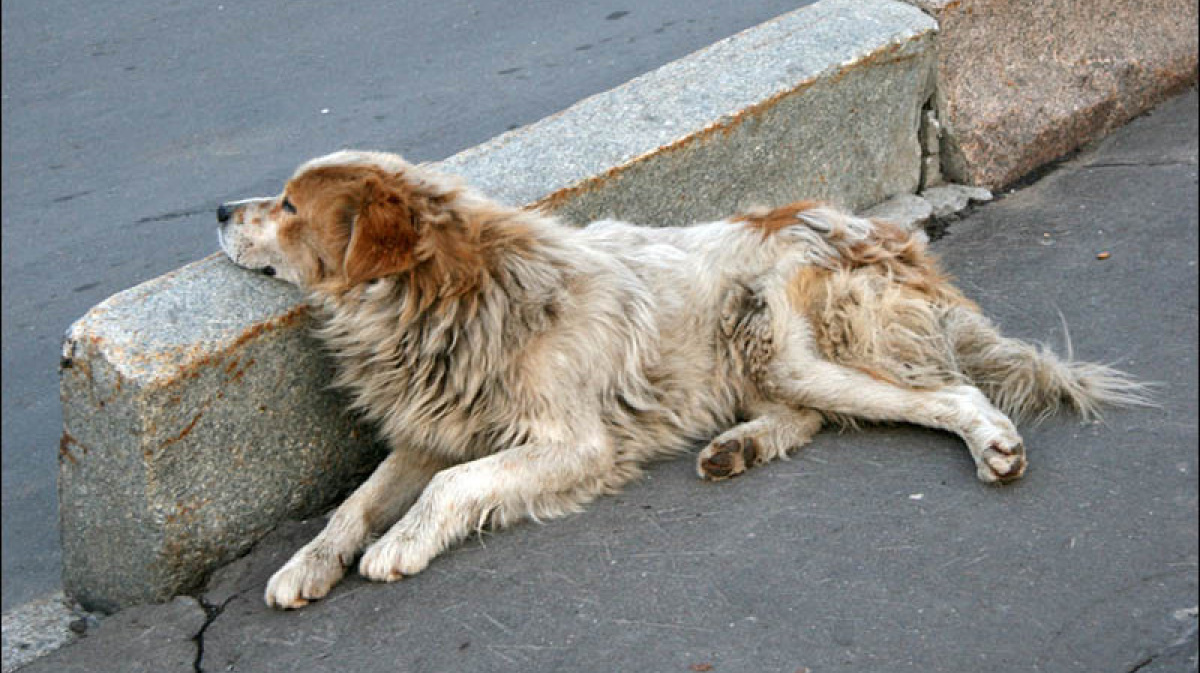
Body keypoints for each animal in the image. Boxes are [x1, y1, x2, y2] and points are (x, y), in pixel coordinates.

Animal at [216, 148, 1142, 609]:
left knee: (950, 394)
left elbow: (455, 487)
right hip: (765, 357)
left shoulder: (574, 444)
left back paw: (993, 447)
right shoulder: (430, 431)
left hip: (794, 344)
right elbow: (353, 503)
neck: (447, 297)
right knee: (807, 416)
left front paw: (400, 544)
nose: (221, 209)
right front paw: (308, 562)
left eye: (291, 206)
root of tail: (891, 237)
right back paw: (737, 446)